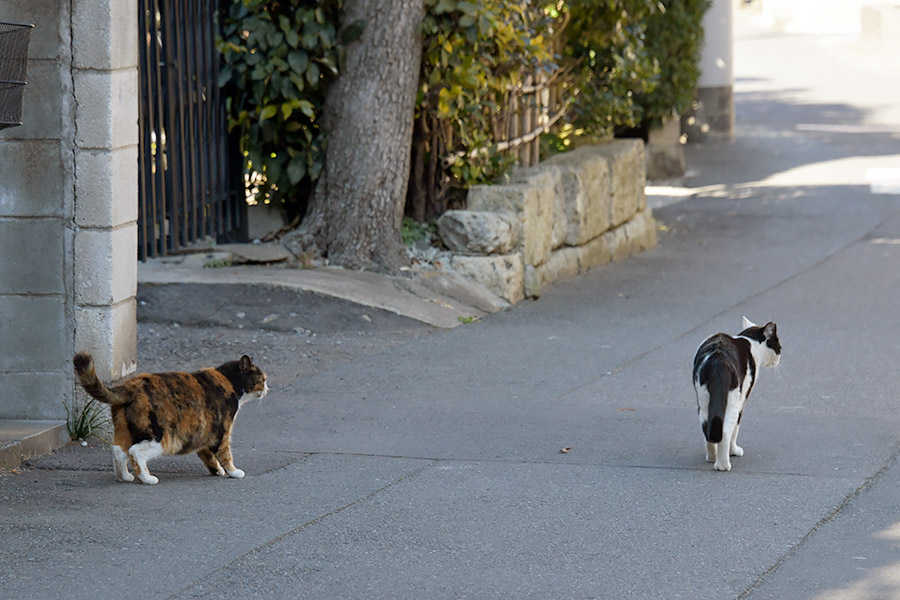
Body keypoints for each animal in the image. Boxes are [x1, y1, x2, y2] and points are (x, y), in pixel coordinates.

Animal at [71, 352, 268, 482]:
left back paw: (125, 477)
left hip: (124, 429)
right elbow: (225, 454)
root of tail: (131, 386)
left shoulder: (203, 433)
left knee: (118, 450)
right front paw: (234, 472)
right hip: (160, 438)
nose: (268, 388)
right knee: (135, 452)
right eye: (263, 379)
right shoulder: (223, 432)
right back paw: (147, 478)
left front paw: (216, 471)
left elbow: (207, 455)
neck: (229, 381)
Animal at [696, 316, 780, 472]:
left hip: (703, 401)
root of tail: (718, 359)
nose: (779, 358)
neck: (750, 341)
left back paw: (712, 457)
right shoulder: (743, 399)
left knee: (707, 427)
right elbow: (736, 429)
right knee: (725, 432)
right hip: (733, 401)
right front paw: (734, 451)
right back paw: (723, 465)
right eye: (779, 347)